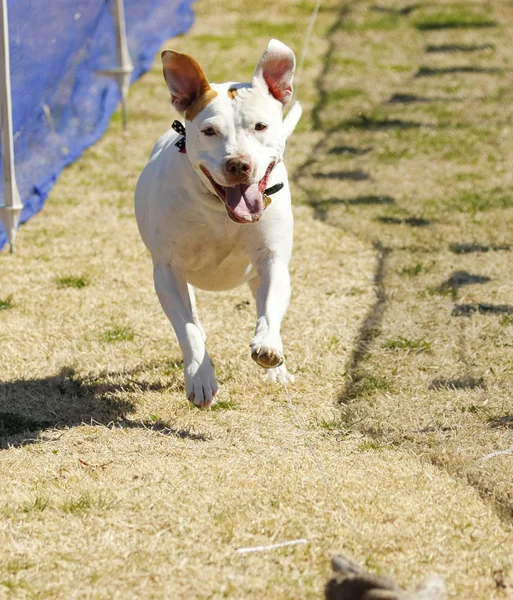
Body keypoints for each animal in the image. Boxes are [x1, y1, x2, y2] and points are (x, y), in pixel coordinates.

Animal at [135, 39, 300, 410]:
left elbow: (270, 310)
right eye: (209, 131)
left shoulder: (272, 260)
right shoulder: (168, 271)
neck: (219, 209)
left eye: (260, 126)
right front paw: (200, 377)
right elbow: (189, 329)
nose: (238, 164)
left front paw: (268, 347)